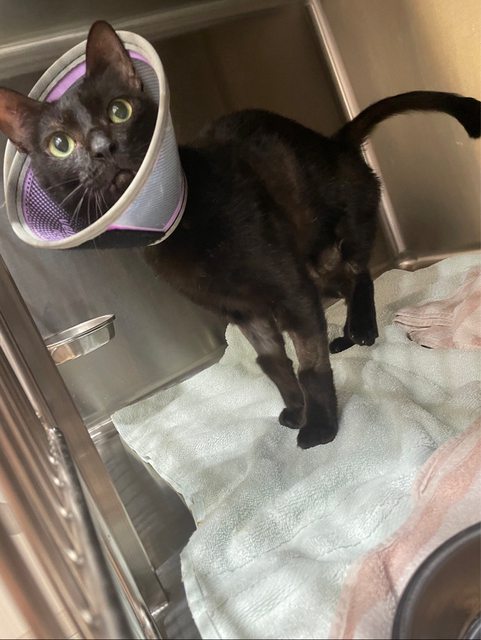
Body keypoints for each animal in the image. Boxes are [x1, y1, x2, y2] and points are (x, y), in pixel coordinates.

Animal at [0, 21, 479, 448]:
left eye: (120, 110)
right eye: (60, 144)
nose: (103, 148)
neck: (184, 232)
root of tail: (332, 141)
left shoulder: (290, 293)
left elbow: (310, 367)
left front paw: (321, 427)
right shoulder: (243, 311)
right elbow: (272, 363)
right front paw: (296, 409)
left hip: (332, 243)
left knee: (359, 272)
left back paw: (360, 327)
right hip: (314, 264)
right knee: (345, 281)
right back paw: (344, 335)